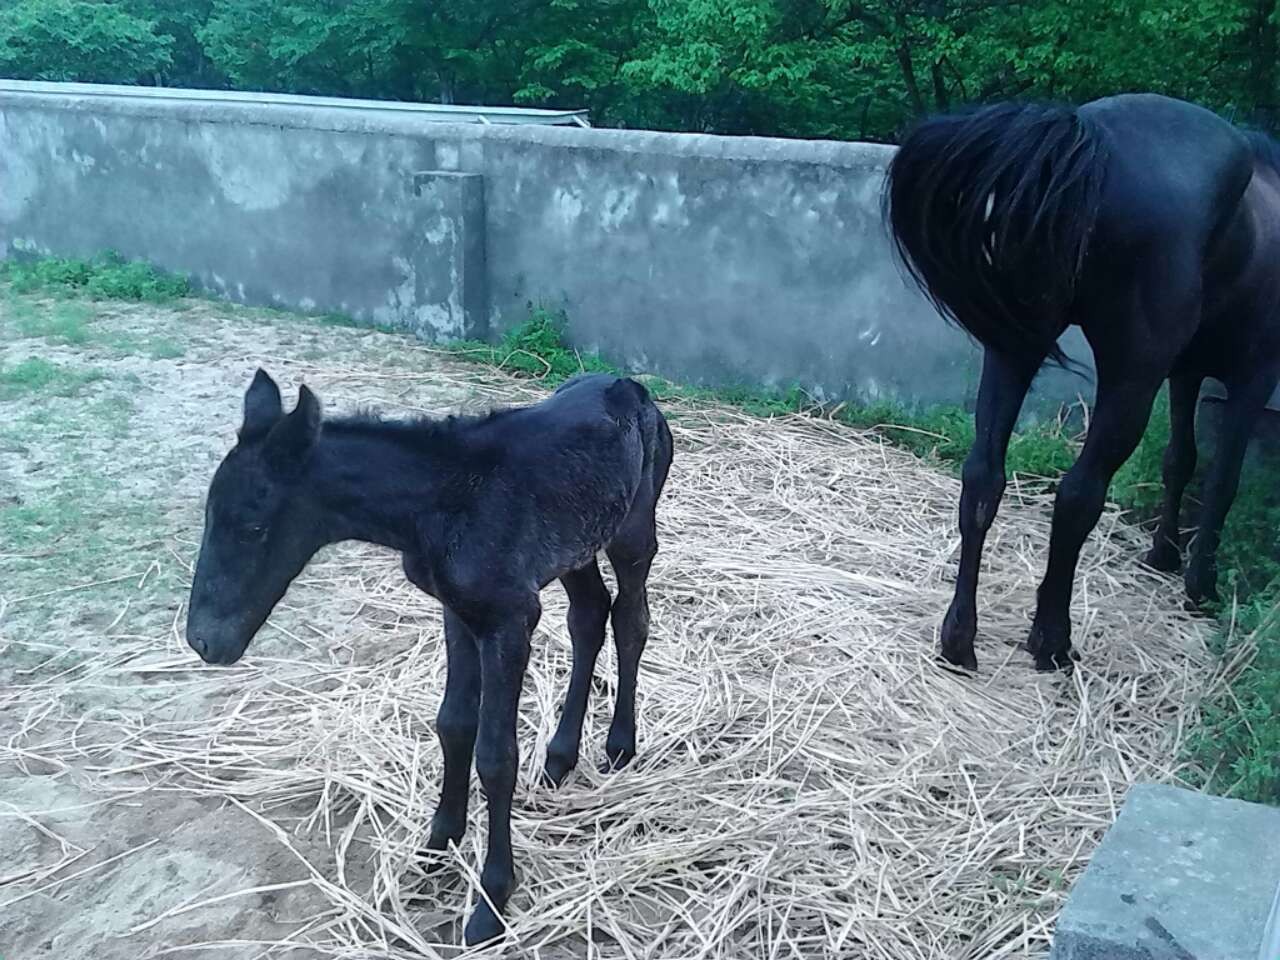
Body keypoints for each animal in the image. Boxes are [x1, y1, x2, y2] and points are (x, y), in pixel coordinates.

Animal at [188, 371, 675, 947]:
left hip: (632, 530)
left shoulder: (509, 620)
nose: (203, 641)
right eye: (209, 516)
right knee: (588, 615)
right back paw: (560, 755)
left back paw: (620, 744)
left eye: (255, 527)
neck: (440, 504)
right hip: (576, 545)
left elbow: (496, 755)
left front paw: (491, 900)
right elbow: (454, 724)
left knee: (630, 618)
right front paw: (438, 844)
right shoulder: (457, 611)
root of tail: (632, 386)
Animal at [885, 94, 1280, 670]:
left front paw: (1163, 553)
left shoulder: (1186, 374)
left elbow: (1179, 459)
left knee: (983, 478)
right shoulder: (1253, 376)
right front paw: (1199, 583)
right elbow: (1222, 480)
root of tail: (1086, 137)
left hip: (1015, 346)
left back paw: (959, 637)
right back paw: (1051, 639)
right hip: (1129, 377)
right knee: (1078, 494)